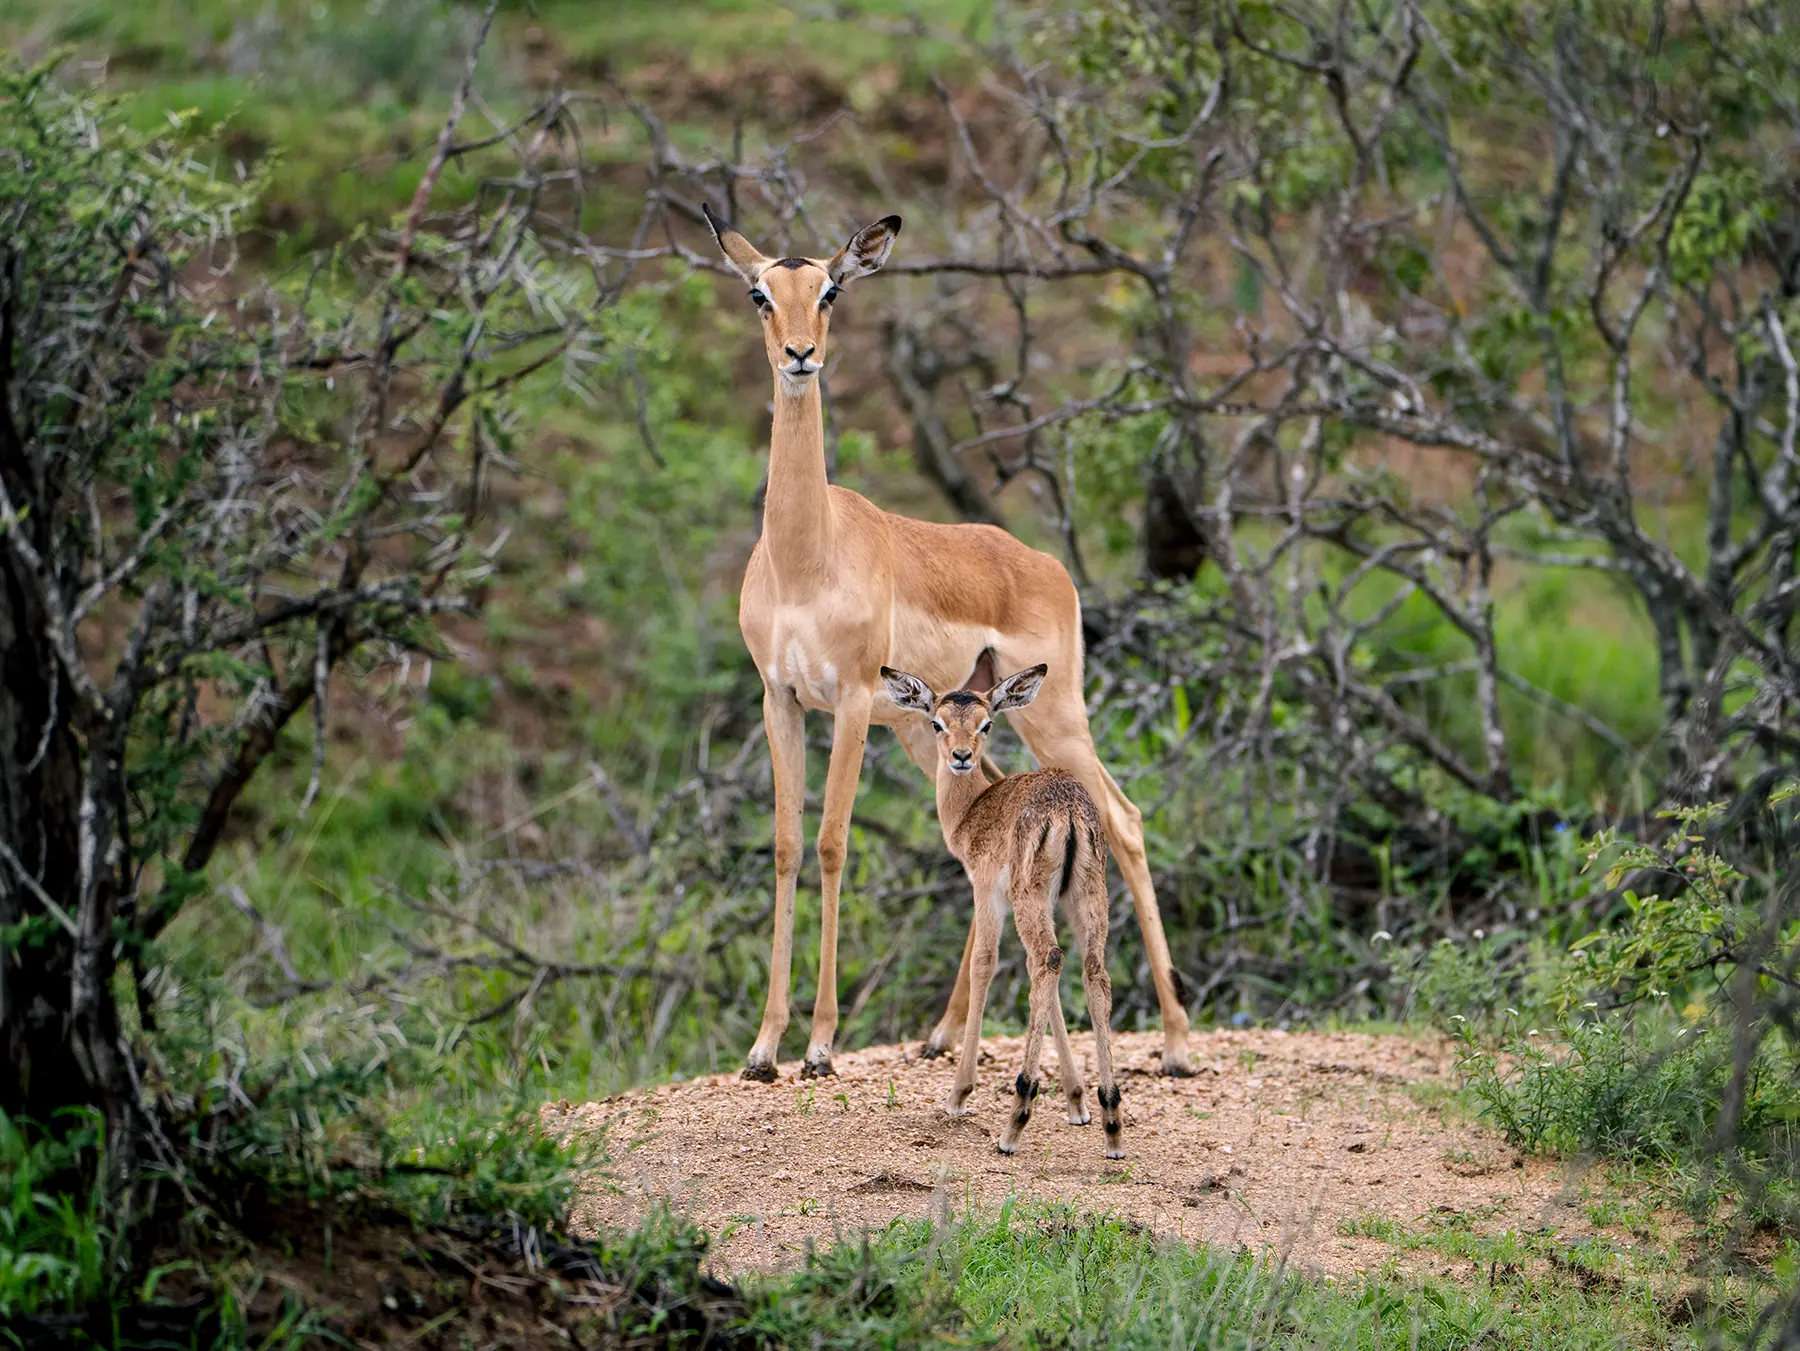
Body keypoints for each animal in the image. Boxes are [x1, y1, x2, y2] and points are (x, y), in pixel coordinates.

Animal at [702, 203, 1193, 1083]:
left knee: (1127, 819)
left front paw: (820, 1044)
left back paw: (1174, 1044)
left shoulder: (851, 701)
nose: (801, 355)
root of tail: (1049, 566)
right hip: (945, 729)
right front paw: (762, 1046)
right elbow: (787, 845)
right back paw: (939, 1032)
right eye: (760, 293)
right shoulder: (781, 698)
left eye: (829, 290)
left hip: (1048, 717)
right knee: (991, 813)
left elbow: (831, 843)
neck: (806, 557)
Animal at [881, 663, 1124, 1157]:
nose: (961, 756)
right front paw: (1077, 1102)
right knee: (1089, 968)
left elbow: (983, 963)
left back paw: (1015, 1122)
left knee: (1049, 959)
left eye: (986, 724)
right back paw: (1110, 1121)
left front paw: (958, 1094)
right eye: (938, 722)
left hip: (1033, 899)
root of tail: (1068, 809)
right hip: (1086, 898)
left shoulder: (986, 890)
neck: (974, 809)